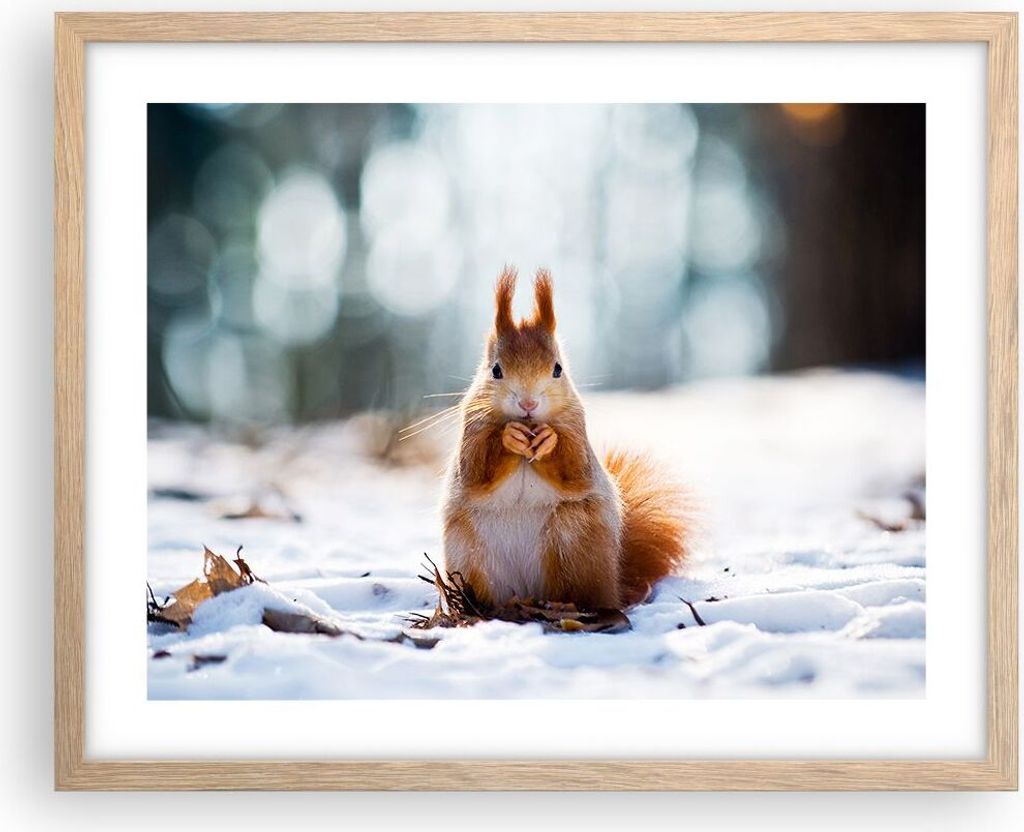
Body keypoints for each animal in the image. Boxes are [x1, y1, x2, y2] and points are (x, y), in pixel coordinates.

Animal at [441, 267, 691, 610]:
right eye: (496, 370)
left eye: (558, 369)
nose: (528, 404)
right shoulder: (472, 430)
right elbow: (476, 471)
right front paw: (509, 436)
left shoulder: (577, 430)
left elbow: (575, 470)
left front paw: (549, 440)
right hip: (469, 553)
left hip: (573, 539)